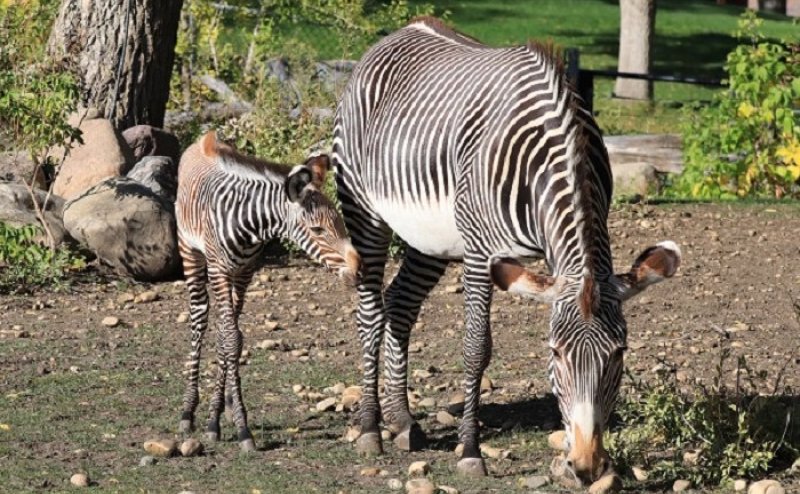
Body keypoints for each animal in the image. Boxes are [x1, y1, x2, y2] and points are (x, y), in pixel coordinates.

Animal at [175, 131, 361, 451]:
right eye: (317, 230)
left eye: (339, 223)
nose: (358, 268)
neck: (249, 224)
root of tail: (204, 138)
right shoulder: (219, 269)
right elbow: (230, 339)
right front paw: (239, 427)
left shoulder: (247, 270)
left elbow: (231, 340)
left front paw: (220, 414)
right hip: (191, 253)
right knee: (199, 321)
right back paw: (188, 412)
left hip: (234, 276)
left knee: (223, 329)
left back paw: (222, 402)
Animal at [332, 17, 681, 483]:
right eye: (555, 352)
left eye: (619, 353)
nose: (587, 465)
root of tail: (405, 29)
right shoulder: (481, 254)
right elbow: (476, 348)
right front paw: (469, 450)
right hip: (365, 212)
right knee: (370, 313)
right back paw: (371, 428)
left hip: (432, 238)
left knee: (400, 303)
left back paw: (403, 421)